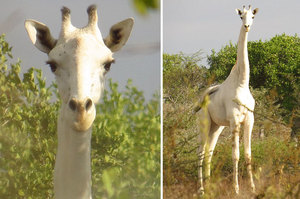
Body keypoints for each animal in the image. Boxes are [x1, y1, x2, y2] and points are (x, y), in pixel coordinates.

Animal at [196, 5, 258, 195]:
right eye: (241, 16)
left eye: (253, 16)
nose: (247, 26)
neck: (242, 83)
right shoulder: (234, 120)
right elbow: (235, 155)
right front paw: (236, 189)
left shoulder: (249, 119)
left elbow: (248, 154)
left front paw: (253, 187)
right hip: (204, 123)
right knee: (200, 152)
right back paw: (201, 189)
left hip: (216, 127)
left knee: (209, 152)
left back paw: (209, 186)